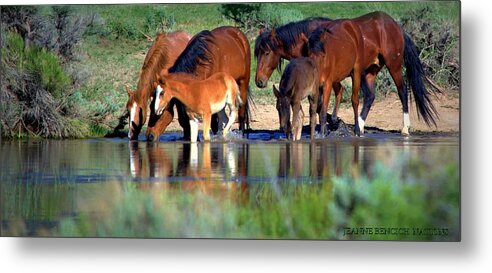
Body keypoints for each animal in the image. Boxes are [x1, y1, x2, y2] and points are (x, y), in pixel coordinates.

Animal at [254, 11, 438, 135]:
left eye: (267, 52)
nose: (259, 81)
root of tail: (397, 27)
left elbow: (327, 99)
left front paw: (331, 122)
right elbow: (332, 96)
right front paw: (333, 121)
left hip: (394, 66)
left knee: (402, 91)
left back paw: (405, 127)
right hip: (370, 71)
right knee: (370, 96)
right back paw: (360, 126)